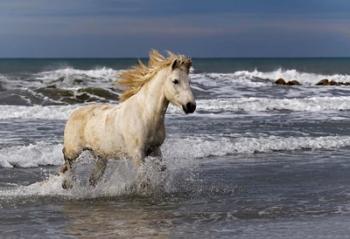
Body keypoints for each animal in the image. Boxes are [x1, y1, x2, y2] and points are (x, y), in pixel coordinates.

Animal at [61, 50, 196, 189]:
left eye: (189, 81)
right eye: (175, 81)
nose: (191, 106)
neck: (145, 114)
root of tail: (73, 114)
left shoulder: (155, 150)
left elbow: (162, 170)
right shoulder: (137, 154)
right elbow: (144, 180)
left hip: (101, 156)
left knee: (92, 179)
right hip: (74, 150)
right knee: (66, 161)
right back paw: (67, 183)